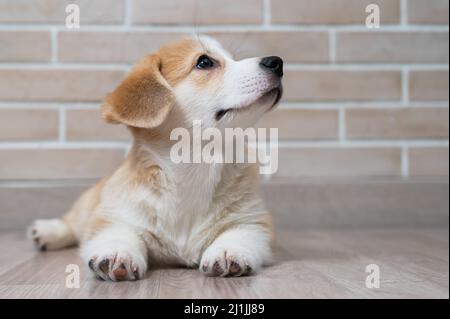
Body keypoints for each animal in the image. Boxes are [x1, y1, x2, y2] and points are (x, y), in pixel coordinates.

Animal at [28, 37, 284, 282]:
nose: (277, 62)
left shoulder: (252, 220)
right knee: (72, 222)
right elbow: (120, 233)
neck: (196, 165)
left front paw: (227, 251)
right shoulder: (114, 217)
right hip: (88, 203)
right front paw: (118, 253)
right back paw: (46, 231)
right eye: (205, 62)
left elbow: (239, 233)